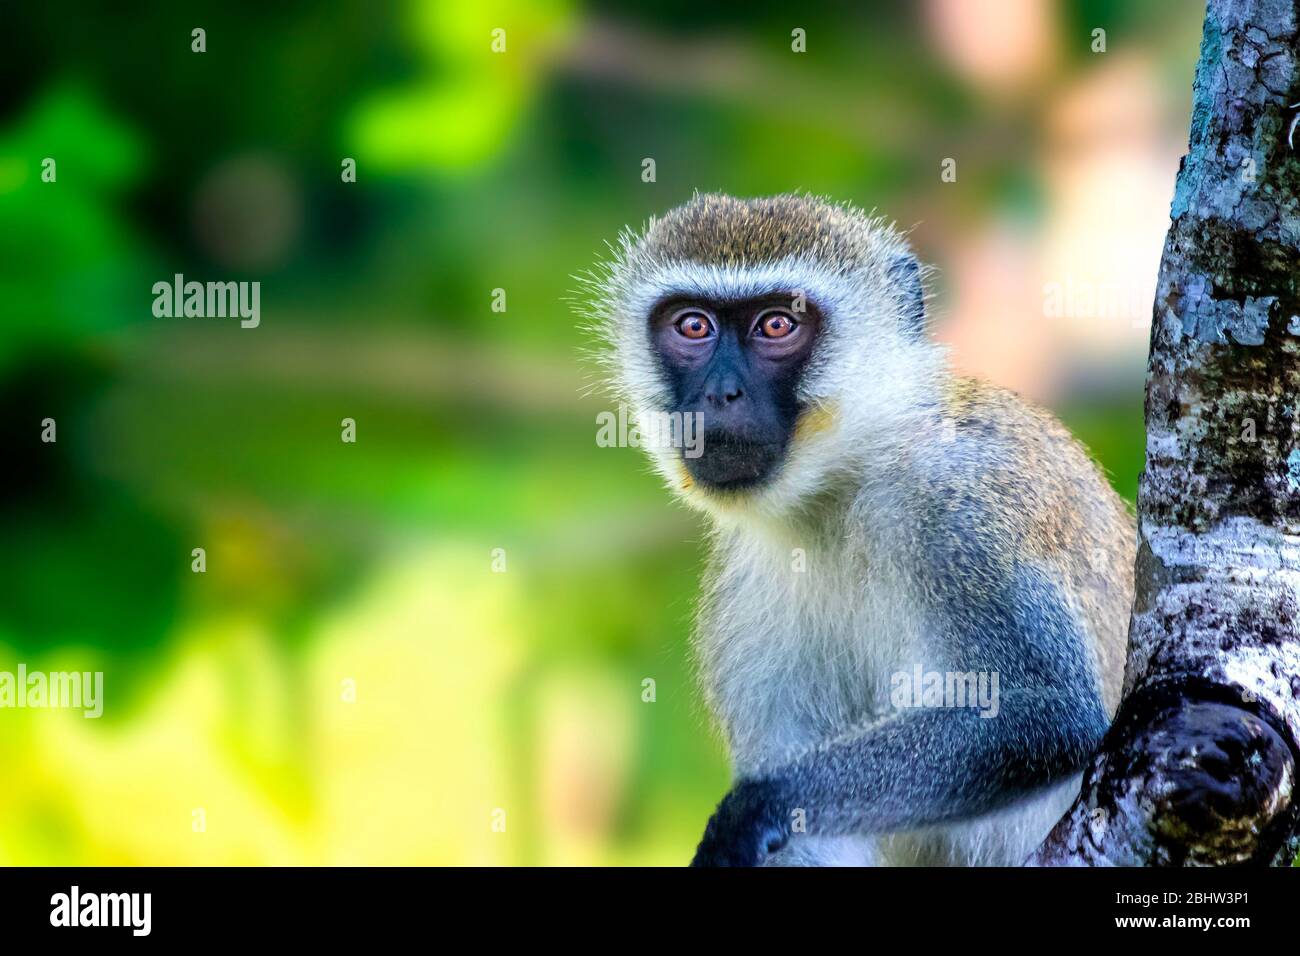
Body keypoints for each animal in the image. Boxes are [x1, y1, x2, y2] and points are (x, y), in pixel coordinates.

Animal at [582, 192, 1138, 868]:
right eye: (693, 327)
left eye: (777, 326)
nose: (720, 393)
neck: (839, 489)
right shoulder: (743, 588)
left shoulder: (959, 508)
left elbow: (1041, 710)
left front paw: (756, 808)